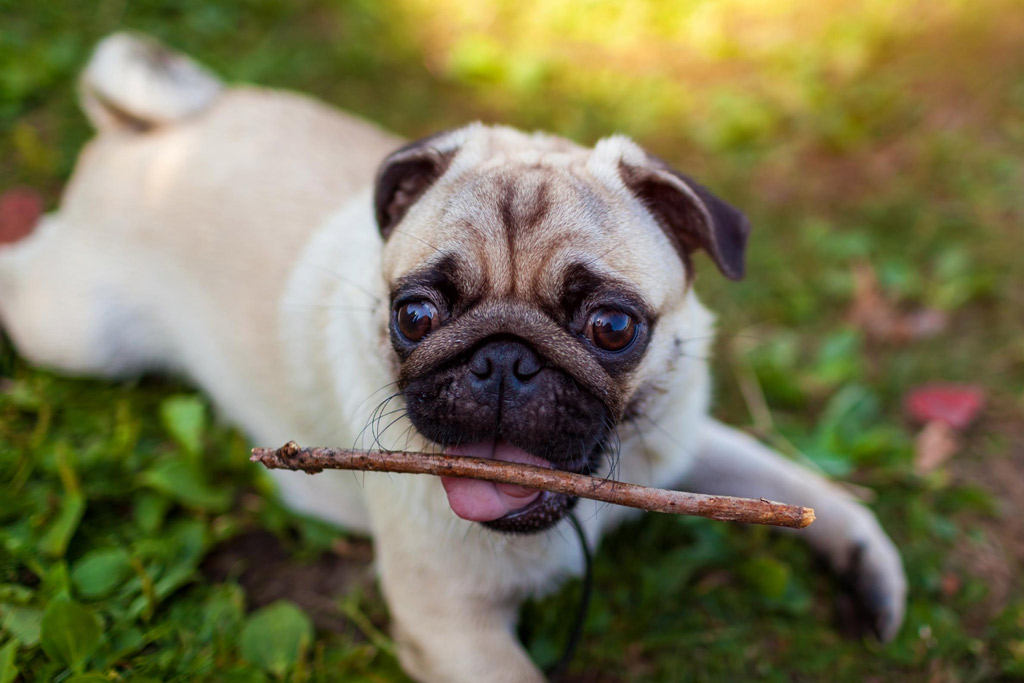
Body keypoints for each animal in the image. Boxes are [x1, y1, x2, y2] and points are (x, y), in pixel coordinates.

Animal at [4, 34, 909, 679]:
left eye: (613, 327)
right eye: (416, 314)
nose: (504, 359)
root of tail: (151, 130)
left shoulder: (676, 442)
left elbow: (790, 482)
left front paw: (867, 563)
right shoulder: (455, 629)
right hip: (75, 330)